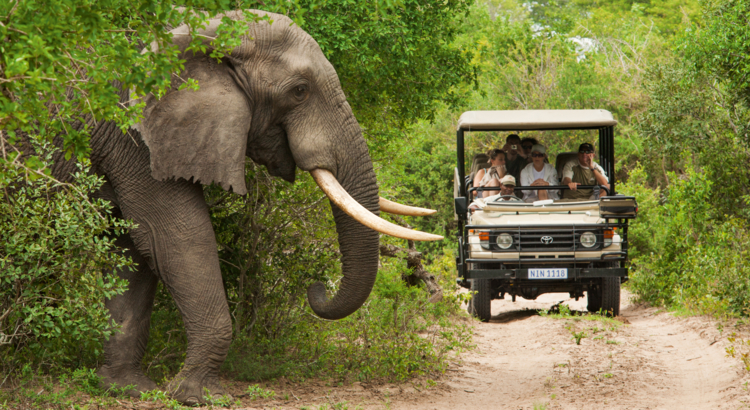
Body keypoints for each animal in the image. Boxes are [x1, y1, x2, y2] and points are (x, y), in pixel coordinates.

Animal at [39, 9, 442, 404]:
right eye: (299, 91)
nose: (316, 288)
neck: (201, 26)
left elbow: (136, 248)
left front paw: (127, 389)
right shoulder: (132, 135)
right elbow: (177, 236)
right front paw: (196, 396)